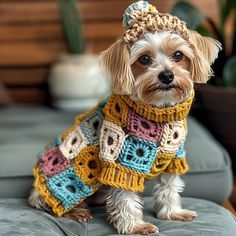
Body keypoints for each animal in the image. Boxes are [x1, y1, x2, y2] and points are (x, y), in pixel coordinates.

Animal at [28, 1, 221, 234]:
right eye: (144, 58)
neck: (157, 109)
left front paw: (172, 212)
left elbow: (170, 186)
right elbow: (125, 197)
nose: (166, 75)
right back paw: (77, 211)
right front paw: (134, 226)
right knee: (54, 202)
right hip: (69, 183)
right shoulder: (120, 163)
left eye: (178, 55)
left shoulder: (174, 157)